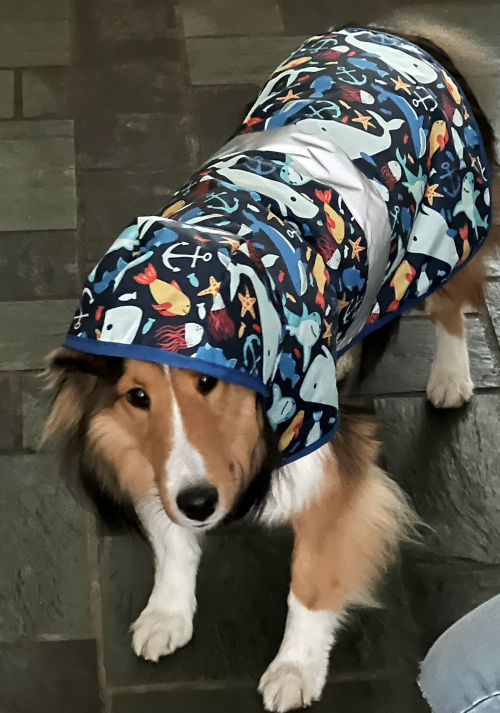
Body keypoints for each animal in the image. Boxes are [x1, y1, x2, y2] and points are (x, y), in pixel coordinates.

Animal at [45, 20, 498, 712]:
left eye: (210, 382)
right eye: (135, 397)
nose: (201, 502)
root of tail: (398, 32)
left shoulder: (330, 459)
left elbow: (310, 580)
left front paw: (295, 670)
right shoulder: (151, 460)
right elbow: (172, 541)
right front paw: (168, 613)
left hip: (444, 236)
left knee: (453, 305)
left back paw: (451, 377)